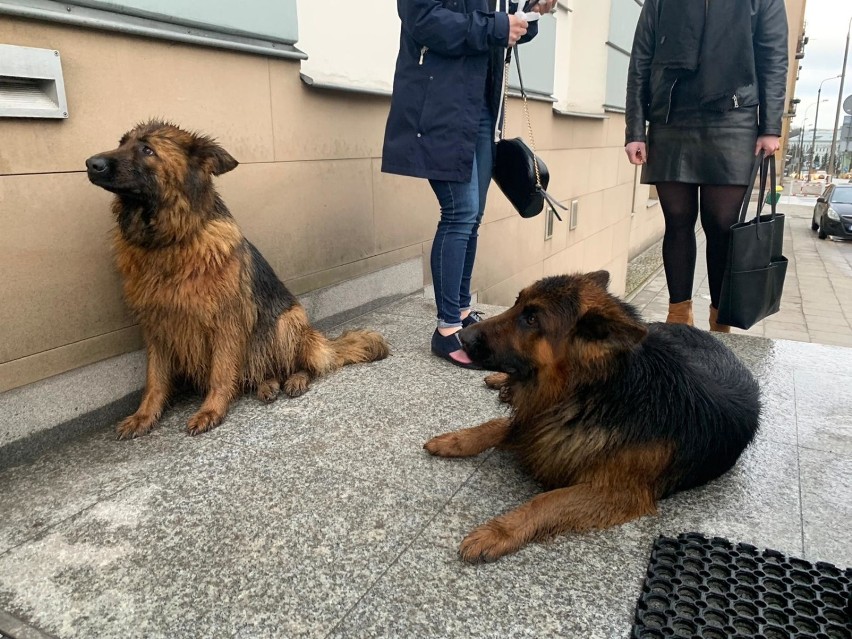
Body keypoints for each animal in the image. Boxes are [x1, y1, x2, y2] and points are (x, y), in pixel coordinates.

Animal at [86, 121, 390, 440]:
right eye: (121, 143)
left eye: (147, 149)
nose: (91, 163)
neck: (167, 243)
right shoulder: (157, 326)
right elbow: (155, 379)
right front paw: (143, 416)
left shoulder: (225, 321)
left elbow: (220, 372)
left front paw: (211, 411)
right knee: (263, 373)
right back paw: (267, 385)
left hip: (286, 322)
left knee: (303, 365)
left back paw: (294, 380)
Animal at [424, 272, 760, 564]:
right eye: (517, 303)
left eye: (531, 319)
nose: (461, 336)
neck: (595, 390)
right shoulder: (539, 421)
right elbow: (495, 425)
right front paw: (455, 440)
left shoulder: (615, 492)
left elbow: (546, 501)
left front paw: (498, 531)